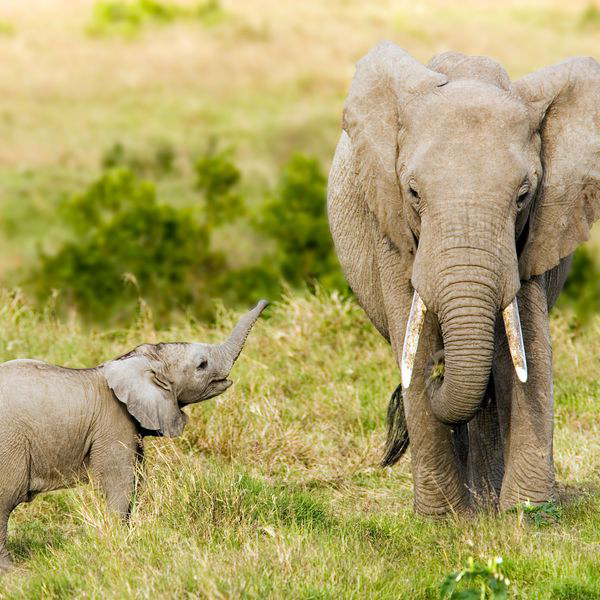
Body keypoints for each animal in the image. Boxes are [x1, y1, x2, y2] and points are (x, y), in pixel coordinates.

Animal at [0, 302, 268, 568]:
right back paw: (11, 569)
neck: (134, 361)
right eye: (201, 365)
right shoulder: (113, 423)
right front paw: (118, 545)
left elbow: (137, 480)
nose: (264, 302)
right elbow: (121, 482)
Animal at [326, 41, 600, 516]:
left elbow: (527, 349)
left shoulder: (532, 235)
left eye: (523, 195)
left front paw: (526, 513)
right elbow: (412, 342)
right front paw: (443, 520)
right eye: (413, 193)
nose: (440, 369)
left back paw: (486, 502)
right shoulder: (390, 226)